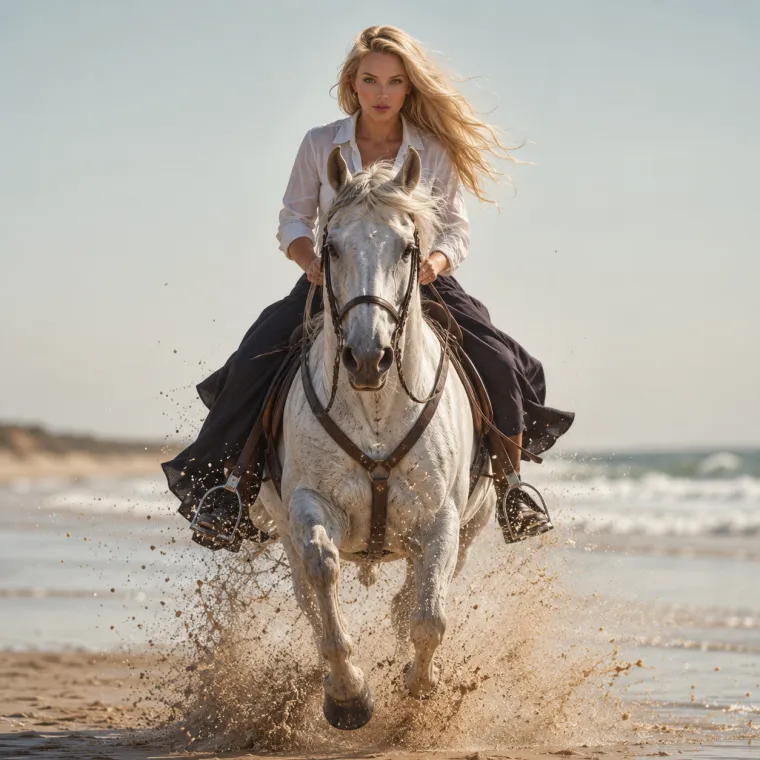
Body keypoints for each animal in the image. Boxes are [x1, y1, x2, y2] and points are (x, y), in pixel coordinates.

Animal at [253, 146, 496, 730]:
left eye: (408, 248)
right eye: (331, 246)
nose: (368, 357)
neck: (378, 409)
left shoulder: (441, 519)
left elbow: (430, 616)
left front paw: (421, 687)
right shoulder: (308, 503)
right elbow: (324, 570)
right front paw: (348, 695)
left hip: (472, 526)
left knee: (415, 598)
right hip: (284, 527)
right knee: (309, 595)